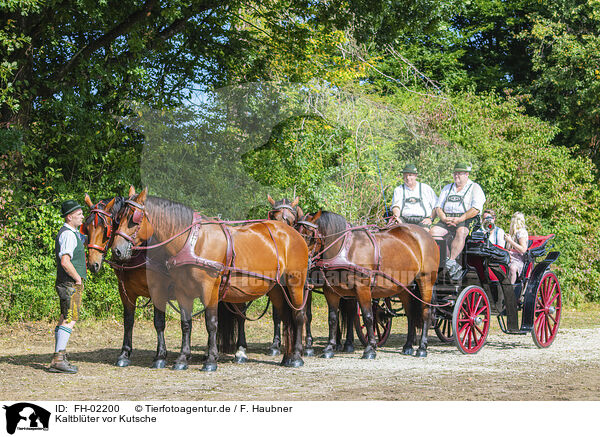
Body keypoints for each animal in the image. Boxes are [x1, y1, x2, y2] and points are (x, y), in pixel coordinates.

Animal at [81, 191, 173, 368]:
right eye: (86, 228)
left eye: (105, 229)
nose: (93, 264)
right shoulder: (125, 291)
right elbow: (128, 321)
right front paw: (125, 353)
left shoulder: (159, 290)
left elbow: (159, 322)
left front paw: (160, 356)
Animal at [111, 188, 310, 372]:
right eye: (118, 217)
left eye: (134, 219)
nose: (117, 251)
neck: (192, 242)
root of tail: (294, 234)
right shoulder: (182, 291)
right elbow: (186, 324)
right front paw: (182, 359)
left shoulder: (209, 288)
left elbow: (211, 323)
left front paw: (211, 360)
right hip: (277, 289)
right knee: (285, 317)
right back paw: (287, 357)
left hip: (296, 284)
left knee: (298, 316)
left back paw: (297, 356)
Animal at [300, 210, 440, 358]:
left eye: (309, 235)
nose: (302, 261)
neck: (345, 250)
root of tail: (427, 236)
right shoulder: (331, 291)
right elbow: (332, 319)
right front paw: (329, 348)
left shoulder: (362, 289)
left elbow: (368, 317)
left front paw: (370, 348)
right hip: (404, 288)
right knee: (411, 314)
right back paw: (408, 346)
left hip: (425, 281)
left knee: (426, 312)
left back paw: (422, 348)